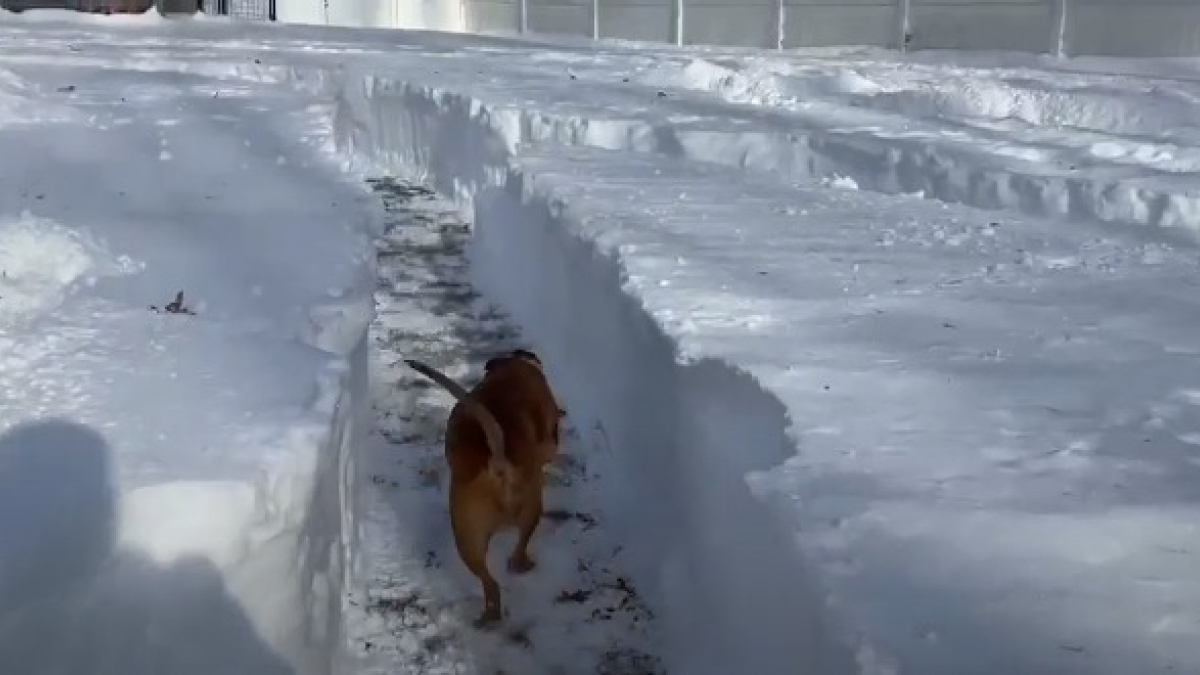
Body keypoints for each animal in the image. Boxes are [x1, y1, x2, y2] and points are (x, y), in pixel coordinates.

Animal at [405, 348, 564, 624]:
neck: (512, 366)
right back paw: (522, 566)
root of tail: (496, 467)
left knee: (490, 583)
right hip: (532, 508)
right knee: (518, 550)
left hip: (468, 540)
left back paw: (490, 616)